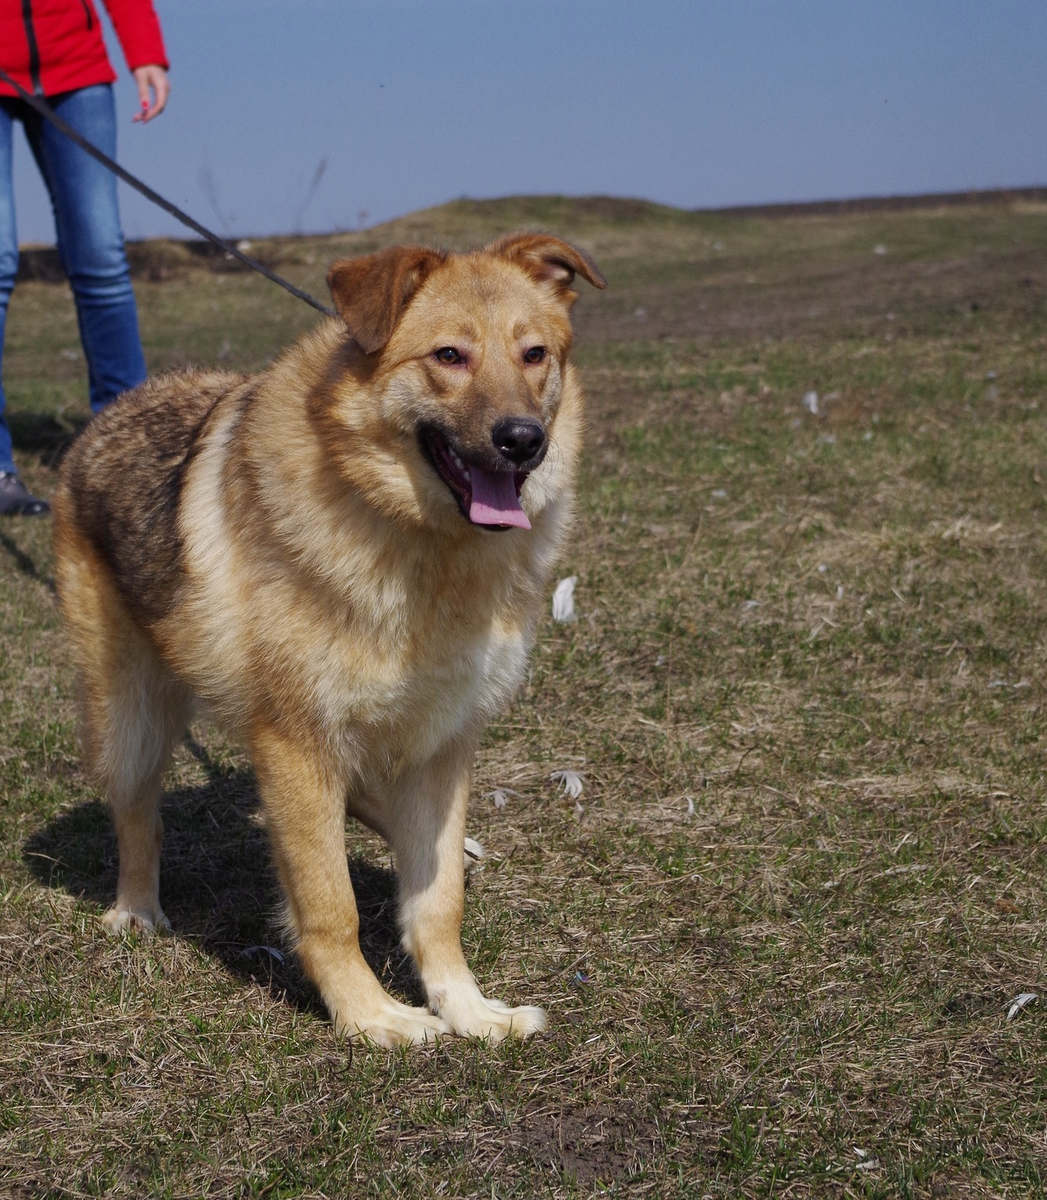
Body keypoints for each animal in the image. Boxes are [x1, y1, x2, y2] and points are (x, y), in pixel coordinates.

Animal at [51, 231, 605, 1041]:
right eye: (448, 356)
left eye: (534, 354)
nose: (523, 442)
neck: (420, 544)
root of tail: (111, 413)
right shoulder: (298, 746)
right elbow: (329, 903)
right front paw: (371, 1016)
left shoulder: (441, 747)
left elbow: (437, 900)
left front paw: (468, 1008)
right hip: (130, 720)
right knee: (136, 819)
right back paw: (137, 910)